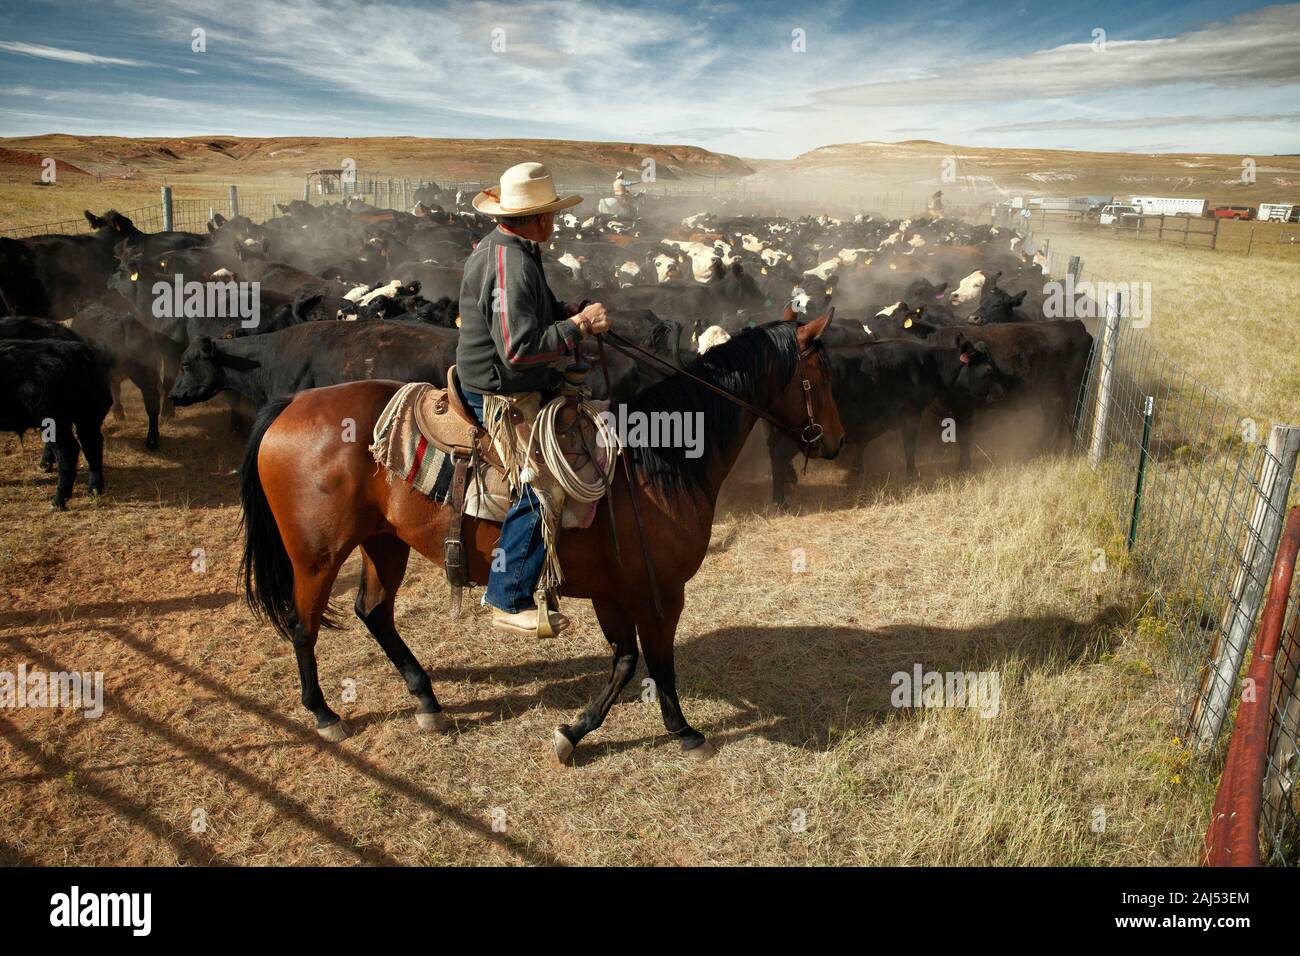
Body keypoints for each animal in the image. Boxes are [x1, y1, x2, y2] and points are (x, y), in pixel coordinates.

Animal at [237, 310, 837, 764]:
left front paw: (573, 733)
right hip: (317, 555)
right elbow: (657, 661)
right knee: (302, 624)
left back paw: (426, 700)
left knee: (373, 611)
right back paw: (324, 713)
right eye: (822, 374)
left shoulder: (614, 592)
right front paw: (684, 730)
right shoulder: (661, 592)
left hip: (384, 541)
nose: (836, 440)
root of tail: (290, 405)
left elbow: (625, 661)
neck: (659, 464)